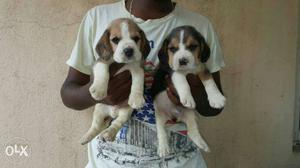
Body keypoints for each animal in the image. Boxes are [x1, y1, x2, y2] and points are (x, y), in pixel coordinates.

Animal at [152, 25, 225, 157]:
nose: (182, 61)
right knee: (161, 132)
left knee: (192, 131)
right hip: (159, 116)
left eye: (192, 46)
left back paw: (202, 144)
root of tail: (174, 116)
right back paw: (163, 148)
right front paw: (187, 98)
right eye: (172, 49)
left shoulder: (202, 68)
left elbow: (209, 81)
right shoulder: (173, 71)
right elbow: (182, 81)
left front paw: (216, 98)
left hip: (190, 114)